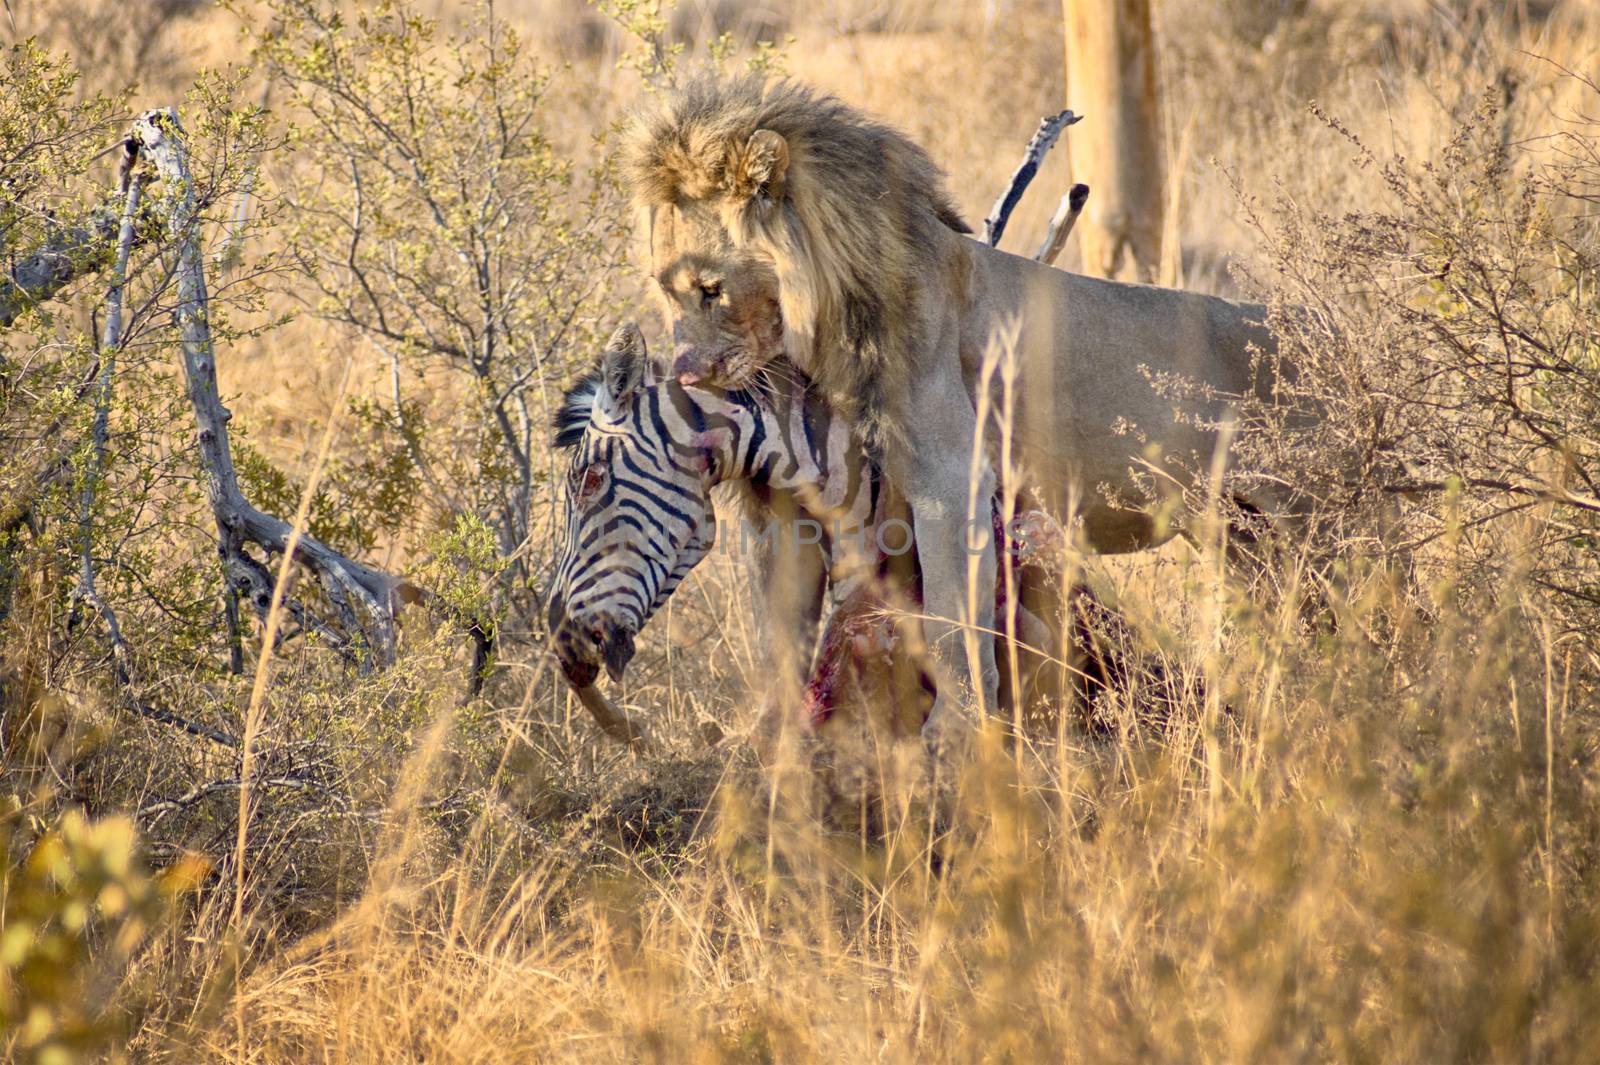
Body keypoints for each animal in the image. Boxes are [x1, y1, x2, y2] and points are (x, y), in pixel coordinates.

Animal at [627, 74, 1286, 751]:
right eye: (664, 289)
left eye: (711, 290)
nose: (685, 372)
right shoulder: (789, 504)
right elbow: (782, 631)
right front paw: (769, 737)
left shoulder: (949, 473)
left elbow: (950, 614)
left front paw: (957, 729)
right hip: (1245, 540)